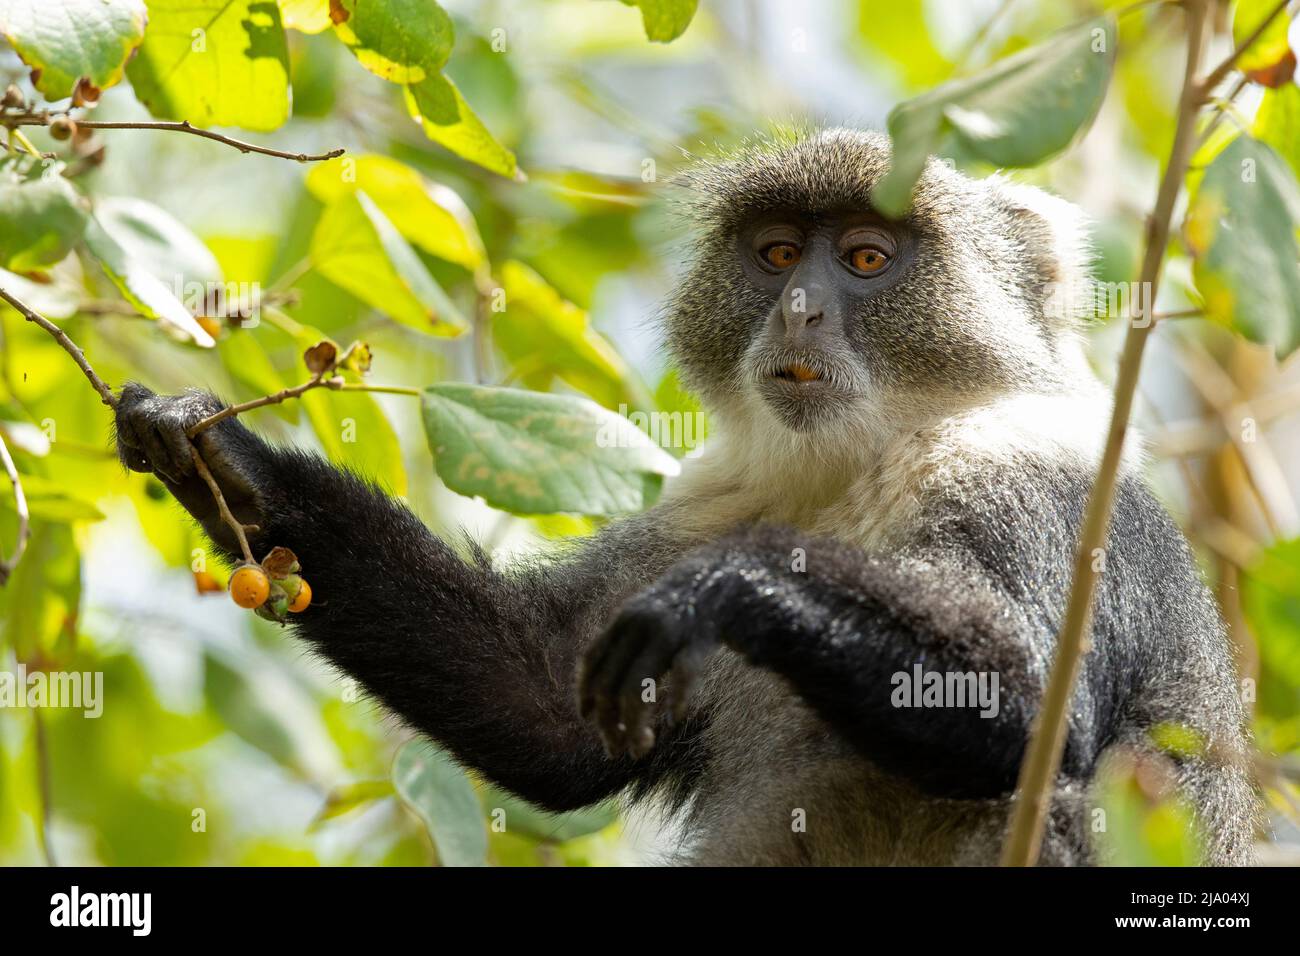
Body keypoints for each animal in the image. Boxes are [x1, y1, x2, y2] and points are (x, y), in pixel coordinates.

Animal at [114, 127, 1258, 868]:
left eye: (867, 258)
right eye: (779, 253)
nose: (798, 311)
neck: (857, 463)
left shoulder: (1032, 488)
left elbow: (1028, 711)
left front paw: (725, 595)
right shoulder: (715, 500)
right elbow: (548, 703)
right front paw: (232, 469)